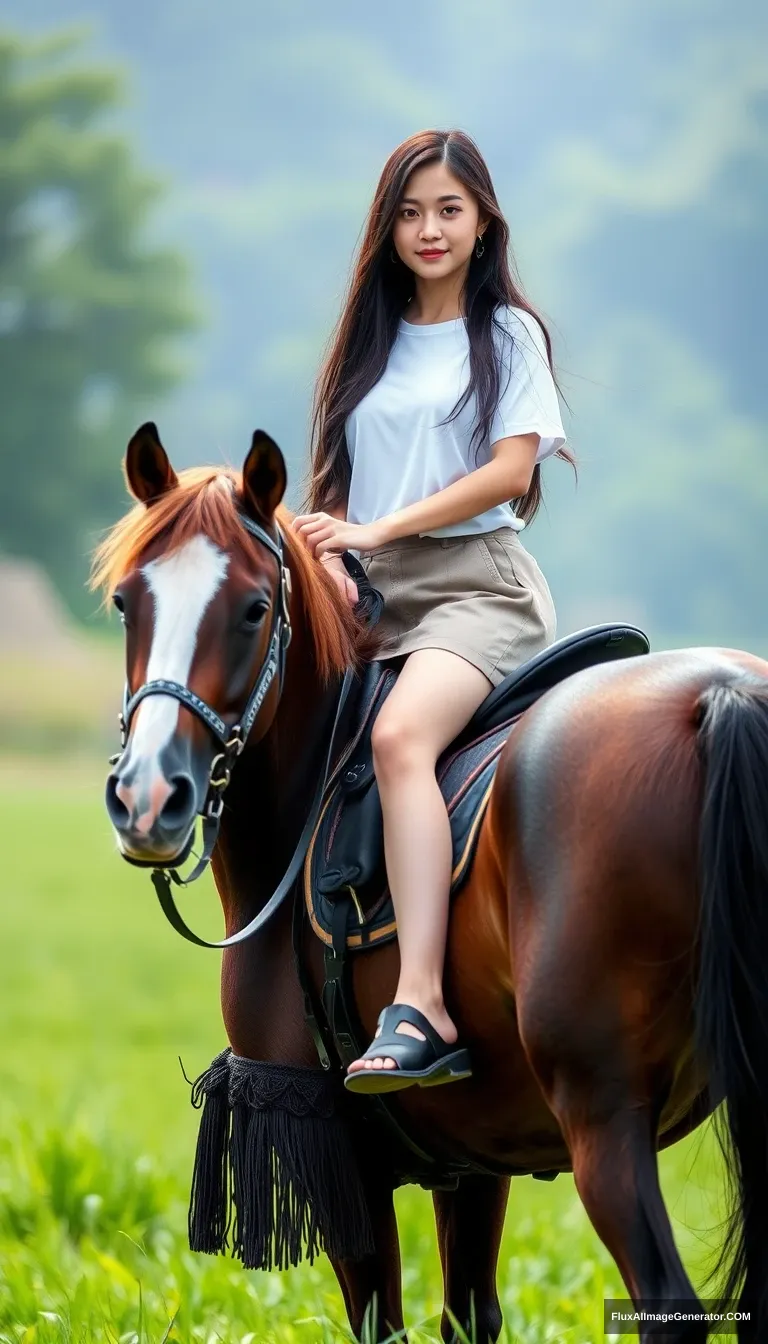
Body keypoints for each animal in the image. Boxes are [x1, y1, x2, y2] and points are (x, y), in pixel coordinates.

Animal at [93, 424, 768, 1344]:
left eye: (254, 609)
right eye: (129, 604)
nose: (147, 798)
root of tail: (718, 696)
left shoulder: (331, 1140)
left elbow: (383, 1322)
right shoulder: (478, 1160)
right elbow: (469, 1316)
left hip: (602, 1114)